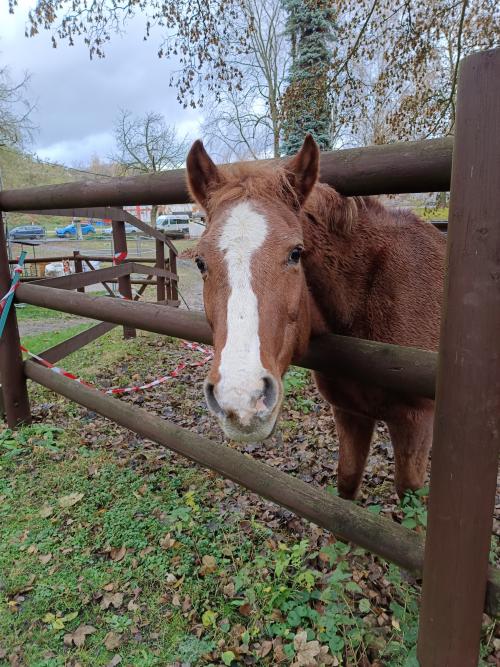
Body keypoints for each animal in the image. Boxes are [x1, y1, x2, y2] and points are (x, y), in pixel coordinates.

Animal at [185, 136, 446, 498]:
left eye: (296, 253)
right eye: (200, 262)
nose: (242, 401)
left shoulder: (415, 423)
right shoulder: (350, 413)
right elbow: (347, 485)